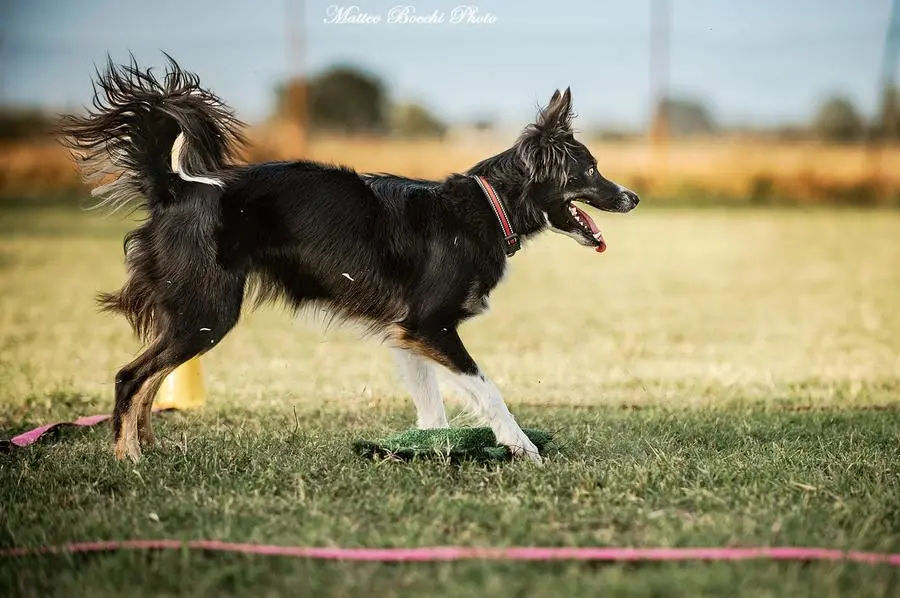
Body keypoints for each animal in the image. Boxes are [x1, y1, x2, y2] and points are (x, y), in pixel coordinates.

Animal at [58, 56, 640, 466]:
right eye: (591, 170)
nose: (633, 196)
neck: (486, 206)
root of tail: (175, 189)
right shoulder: (432, 327)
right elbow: (488, 390)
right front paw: (521, 446)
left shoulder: (409, 333)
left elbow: (433, 410)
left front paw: (429, 451)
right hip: (207, 311)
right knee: (130, 377)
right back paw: (129, 458)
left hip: (194, 314)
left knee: (150, 381)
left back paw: (147, 448)